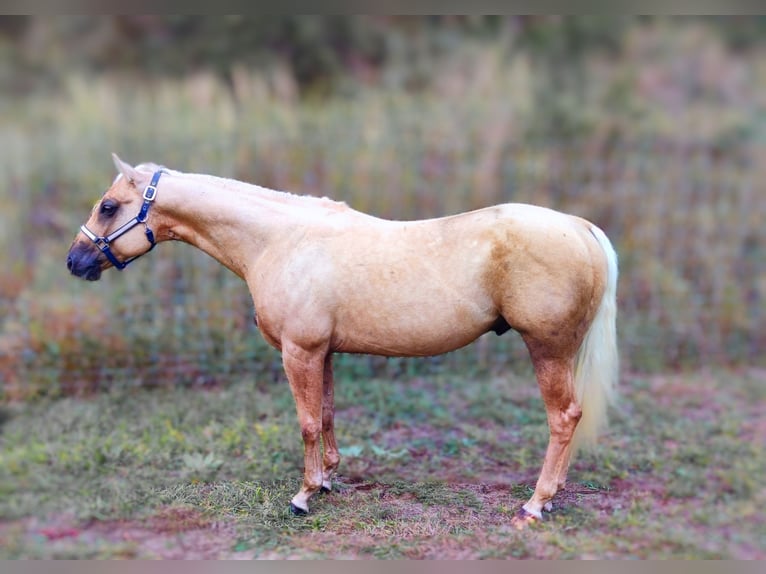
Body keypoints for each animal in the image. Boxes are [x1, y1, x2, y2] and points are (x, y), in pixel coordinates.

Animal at [64, 154, 616, 532]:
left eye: (109, 206)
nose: (75, 262)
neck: (280, 241)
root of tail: (579, 227)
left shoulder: (299, 351)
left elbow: (307, 422)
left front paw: (303, 496)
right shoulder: (323, 352)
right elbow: (327, 415)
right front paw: (328, 480)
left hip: (548, 348)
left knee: (563, 418)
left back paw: (535, 504)